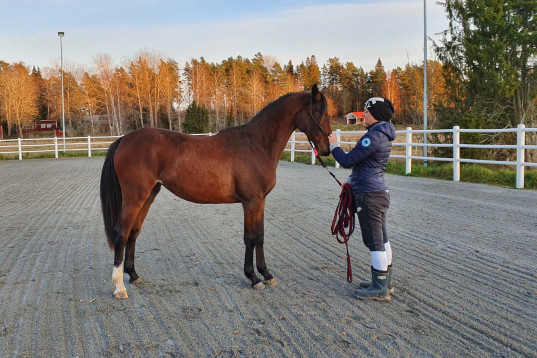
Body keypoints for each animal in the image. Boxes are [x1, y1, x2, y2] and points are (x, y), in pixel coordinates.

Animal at [98, 84, 328, 300]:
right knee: (121, 233)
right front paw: (253, 278)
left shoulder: (260, 201)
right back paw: (119, 288)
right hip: (134, 197)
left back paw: (133, 275)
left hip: (148, 195)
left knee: (133, 232)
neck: (256, 144)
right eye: (320, 113)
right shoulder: (251, 202)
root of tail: (123, 139)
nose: (326, 149)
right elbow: (250, 237)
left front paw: (267, 275)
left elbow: (260, 236)